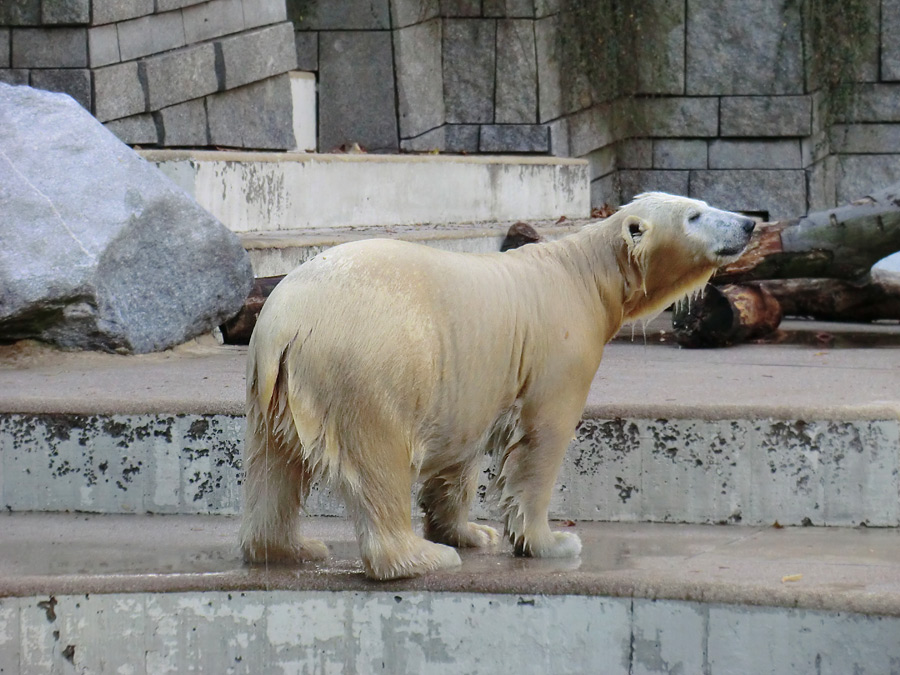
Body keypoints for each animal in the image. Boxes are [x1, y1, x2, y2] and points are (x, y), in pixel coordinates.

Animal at [239, 191, 752, 580]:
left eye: (704, 204)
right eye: (694, 215)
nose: (749, 223)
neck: (585, 276)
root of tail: (286, 322)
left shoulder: (474, 376)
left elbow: (461, 451)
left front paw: (470, 533)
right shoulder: (559, 349)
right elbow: (541, 441)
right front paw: (552, 541)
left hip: (272, 388)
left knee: (274, 464)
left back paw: (291, 548)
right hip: (366, 363)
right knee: (377, 456)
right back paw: (420, 557)